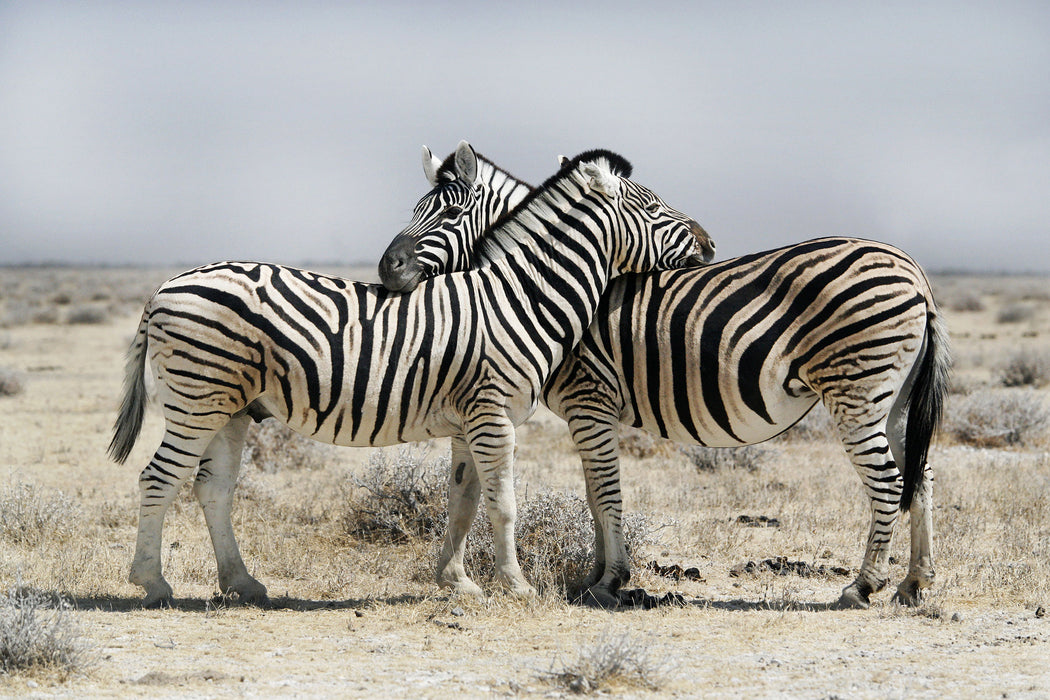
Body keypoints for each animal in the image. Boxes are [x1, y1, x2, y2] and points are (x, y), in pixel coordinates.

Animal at [110, 143, 709, 608]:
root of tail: (163, 288)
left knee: (212, 488)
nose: (708, 244)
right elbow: (504, 502)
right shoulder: (493, 414)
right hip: (197, 400)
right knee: (157, 478)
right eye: (653, 206)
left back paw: (242, 582)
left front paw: (458, 583)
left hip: (229, 408)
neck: (519, 297)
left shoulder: (470, 420)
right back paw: (153, 583)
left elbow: (464, 501)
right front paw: (516, 586)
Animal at [380, 147, 953, 608]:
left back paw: (863, 586)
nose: (387, 269)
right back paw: (914, 583)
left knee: (888, 482)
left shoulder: (590, 400)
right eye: (416, 210)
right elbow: (593, 493)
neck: (540, 286)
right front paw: (594, 576)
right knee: (920, 474)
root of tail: (915, 273)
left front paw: (610, 580)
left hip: (855, 390)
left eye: (448, 212)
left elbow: (605, 491)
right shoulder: (590, 413)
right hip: (892, 398)